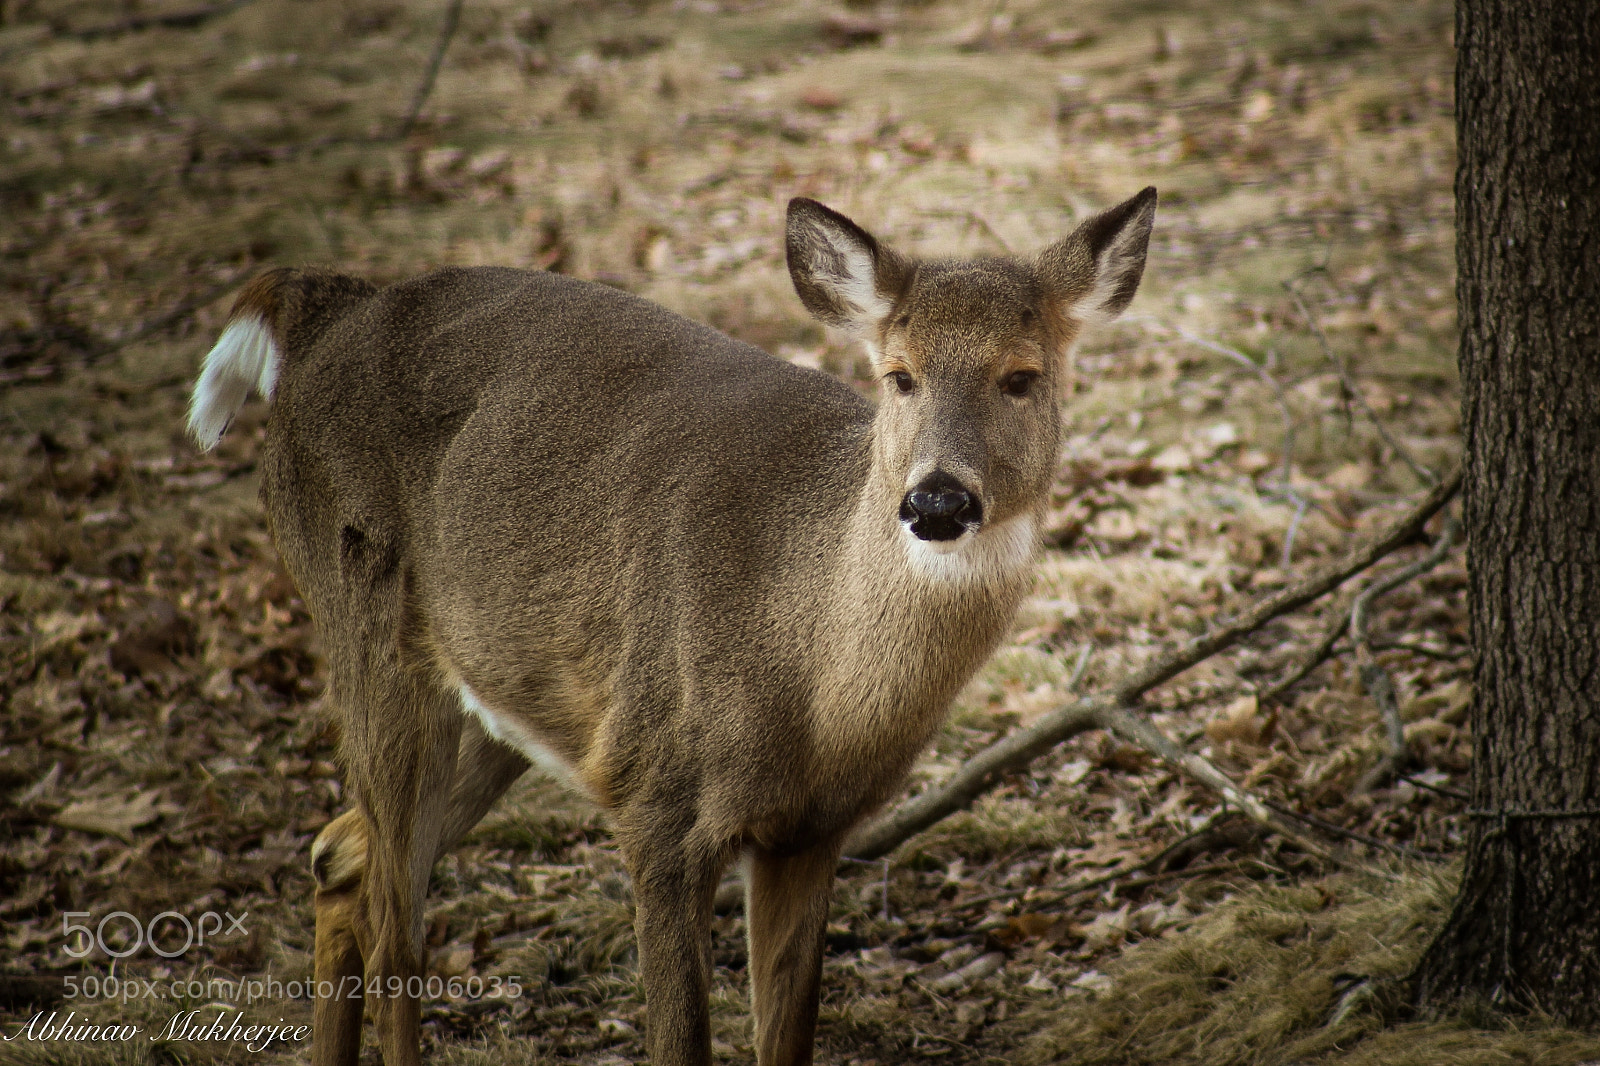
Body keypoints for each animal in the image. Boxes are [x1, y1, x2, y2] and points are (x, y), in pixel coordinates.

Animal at [187, 186, 1155, 1066]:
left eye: (1022, 376)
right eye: (899, 374)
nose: (937, 501)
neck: (807, 684)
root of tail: (327, 311)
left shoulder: (812, 833)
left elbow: (786, 1040)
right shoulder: (657, 796)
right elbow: (679, 1040)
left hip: (500, 698)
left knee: (337, 855)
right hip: (366, 627)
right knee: (396, 932)